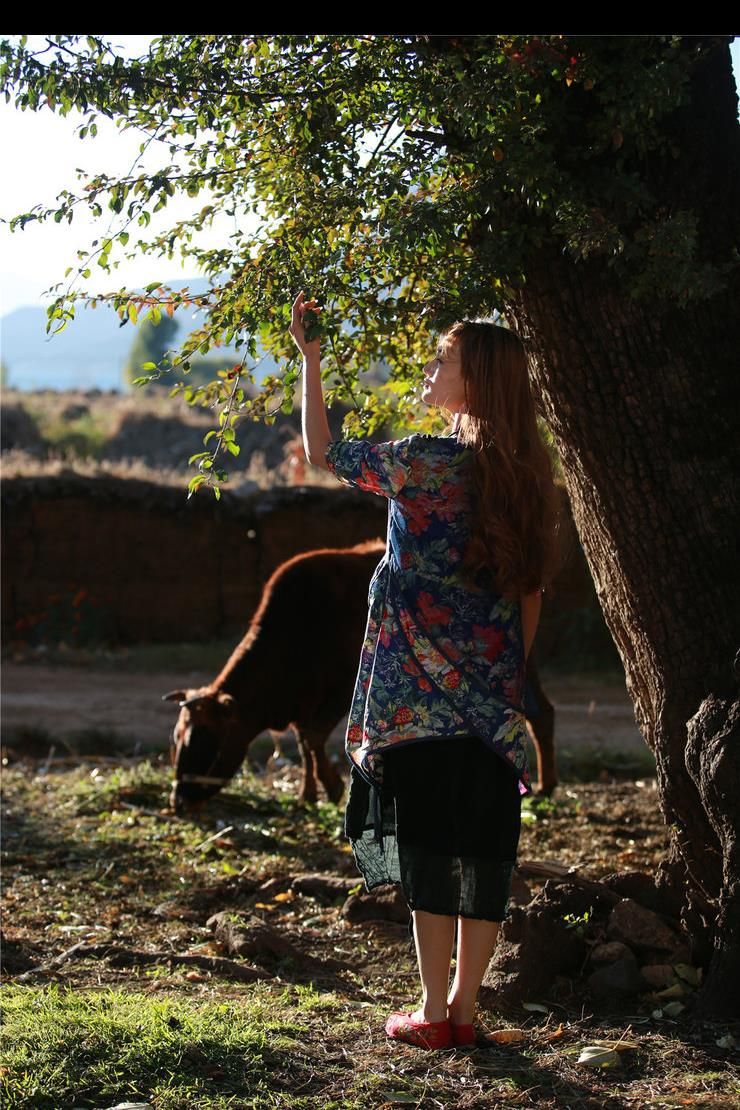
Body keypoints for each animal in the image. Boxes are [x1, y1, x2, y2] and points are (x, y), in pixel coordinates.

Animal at [163, 539, 554, 812]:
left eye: (207, 743)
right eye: (177, 740)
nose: (179, 802)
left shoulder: (340, 691)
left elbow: (312, 738)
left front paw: (332, 787)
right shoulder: (304, 703)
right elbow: (304, 743)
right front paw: (308, 794)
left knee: (539, 714)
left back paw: (546, 786)